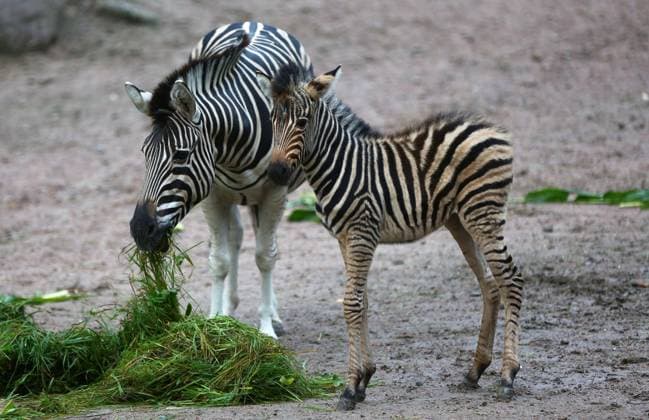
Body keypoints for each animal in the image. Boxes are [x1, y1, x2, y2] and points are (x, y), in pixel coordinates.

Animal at [123, 22, 314, 339]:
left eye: (181, 155)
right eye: (144, 153)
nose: (140, 230)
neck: (232, 148)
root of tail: (252, 21)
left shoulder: (275, 191)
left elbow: (265, 257)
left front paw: (266, 329)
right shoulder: (212, 196)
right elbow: (219, 260)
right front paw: (215, 321)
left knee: (267, 243)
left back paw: (273, 314)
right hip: (232, 196)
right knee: (237, 237)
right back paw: (230, 306)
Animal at [256, 64, 524, 410]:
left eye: (302, 122)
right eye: (271, 120)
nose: (275, 173)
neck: (338, 166)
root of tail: (492, 128)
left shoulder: (362, 233)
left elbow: (352, 303)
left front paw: (349, 388)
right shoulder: (344, 238)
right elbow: (363, 301)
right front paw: (364, 379)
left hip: (483, 213)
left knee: (510, 280)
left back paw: (507, 376)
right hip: (460, 220)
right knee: (490, 285)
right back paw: (474, 371)